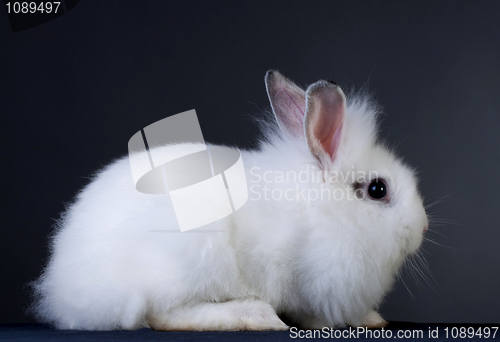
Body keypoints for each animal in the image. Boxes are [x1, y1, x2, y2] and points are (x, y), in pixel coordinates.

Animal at [31, 71, 428, 330]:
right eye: (377, 190)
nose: (422, 227)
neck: (323, 210)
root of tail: (66, 288)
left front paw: (373, 319)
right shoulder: (312, 280)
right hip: (192, 260)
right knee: (160, 315)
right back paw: (255, 317)